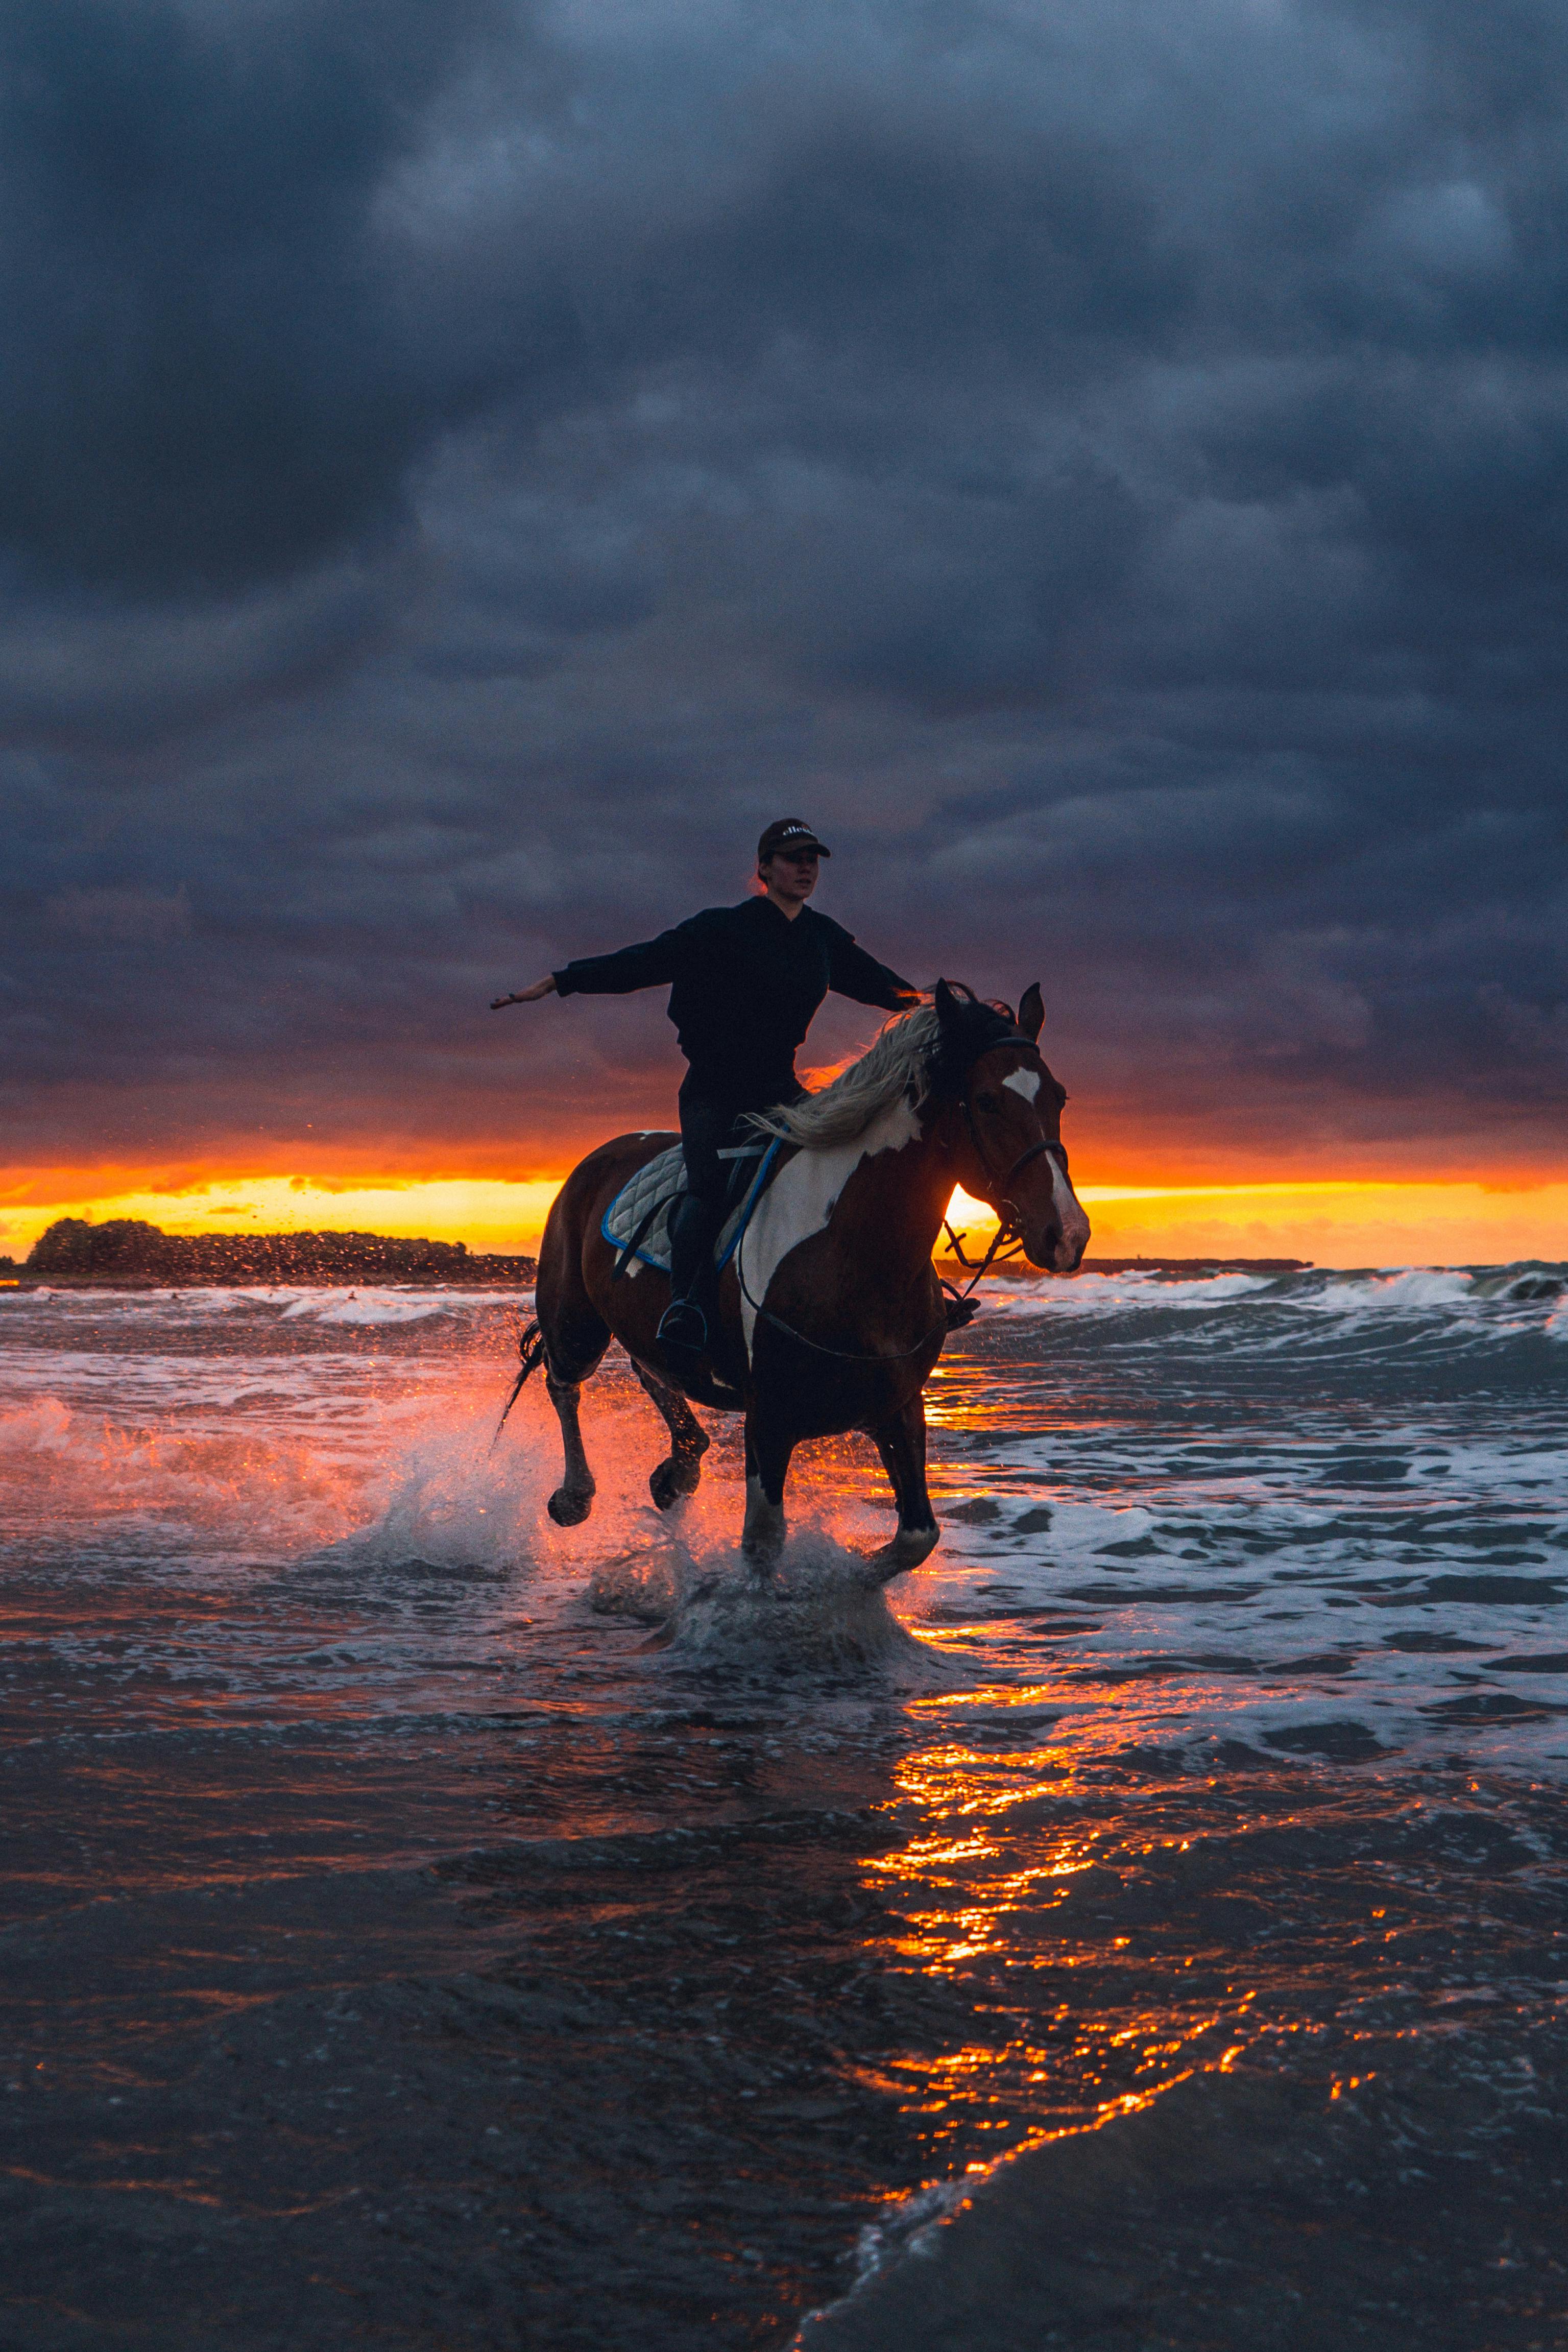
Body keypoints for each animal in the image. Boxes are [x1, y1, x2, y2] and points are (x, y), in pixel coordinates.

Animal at [515, 973, 1091, 1580]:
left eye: (1058, 1097)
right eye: (986, 1101)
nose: (1068, 1233)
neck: (849, 1253)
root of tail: (603, 1153)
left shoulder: (898, 1407)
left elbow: (917, 1537)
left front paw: (851, 1581)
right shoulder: (768, 1423)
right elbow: (763, 1546)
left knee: (652, 1370)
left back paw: (680, 1469)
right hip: (574, 1320)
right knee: (564, 1382)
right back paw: (575, 1496)